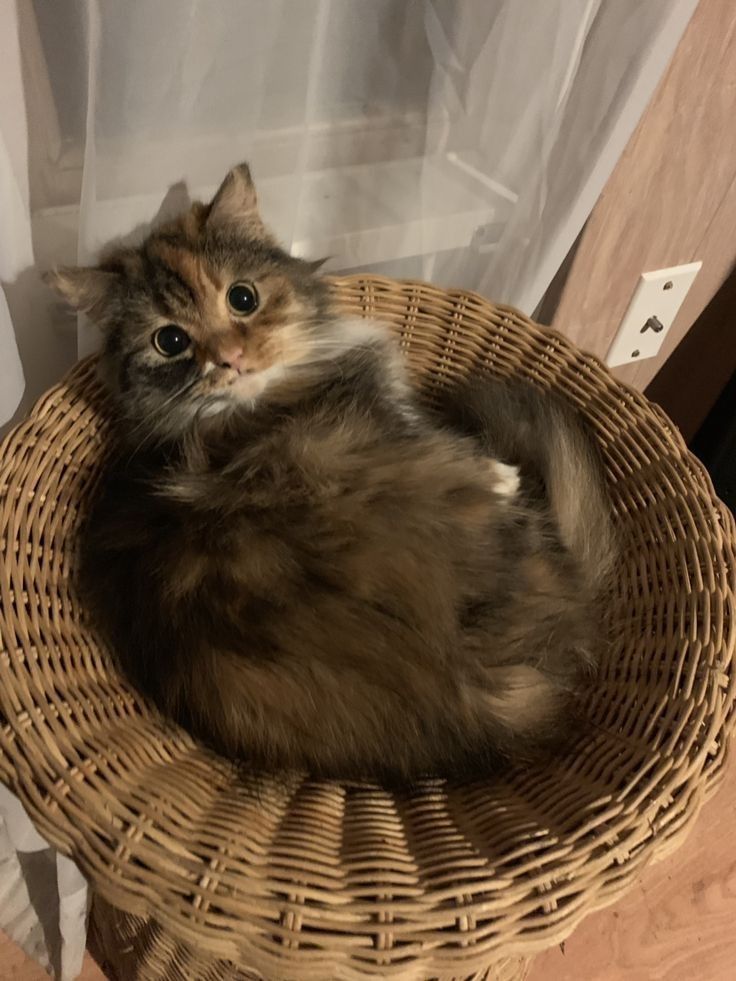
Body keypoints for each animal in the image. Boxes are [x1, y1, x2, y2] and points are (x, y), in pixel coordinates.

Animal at [46, 165, 616, 784]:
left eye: (242, 298)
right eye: (170, 340)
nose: (230, 359)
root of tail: (467, 691)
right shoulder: (402, 424)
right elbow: (476, 459)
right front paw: (501, 472)